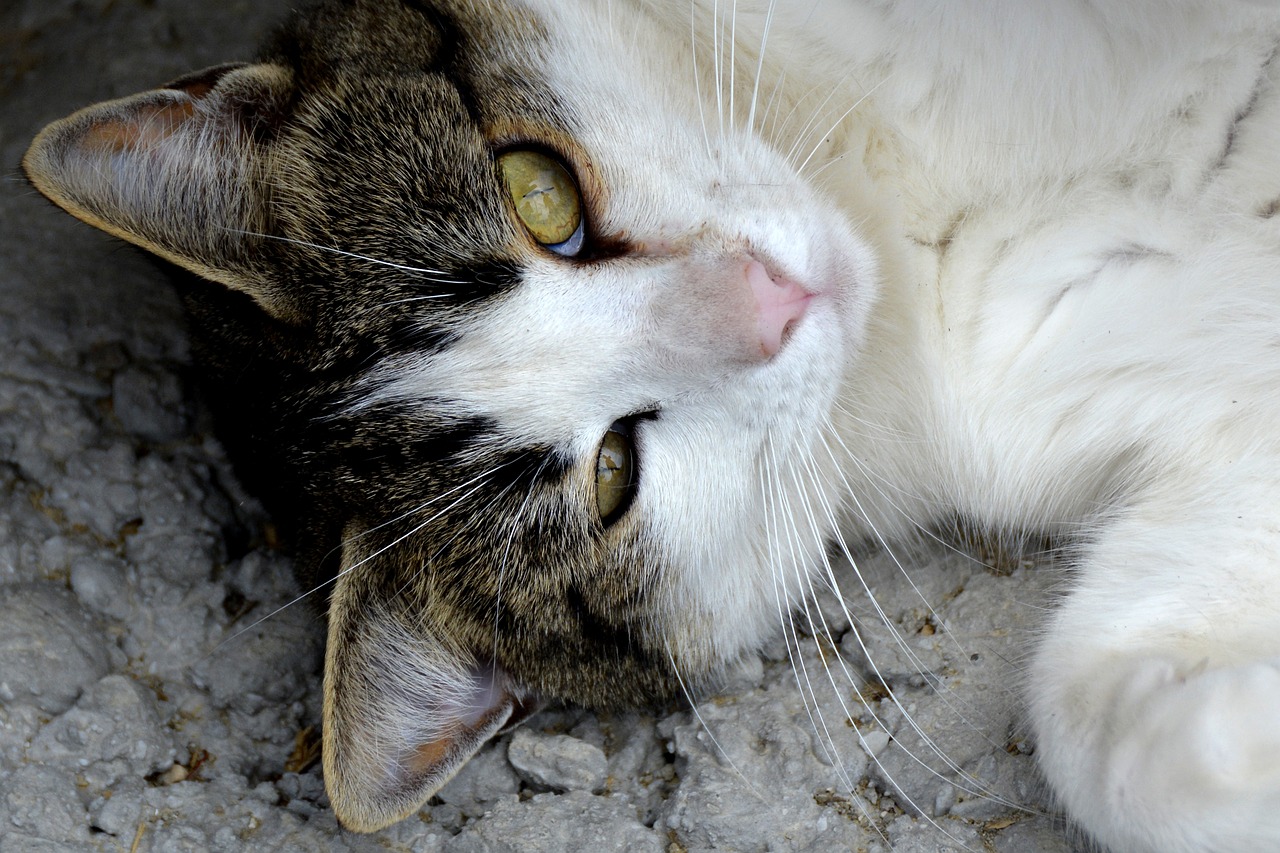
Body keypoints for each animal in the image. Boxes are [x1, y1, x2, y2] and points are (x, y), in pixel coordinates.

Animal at [22, 0, 1280, 845]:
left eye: (538, 194)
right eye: (617, 471)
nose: (772, 298)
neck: (901, 222)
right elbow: (1085, 687)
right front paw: (1240, 739)